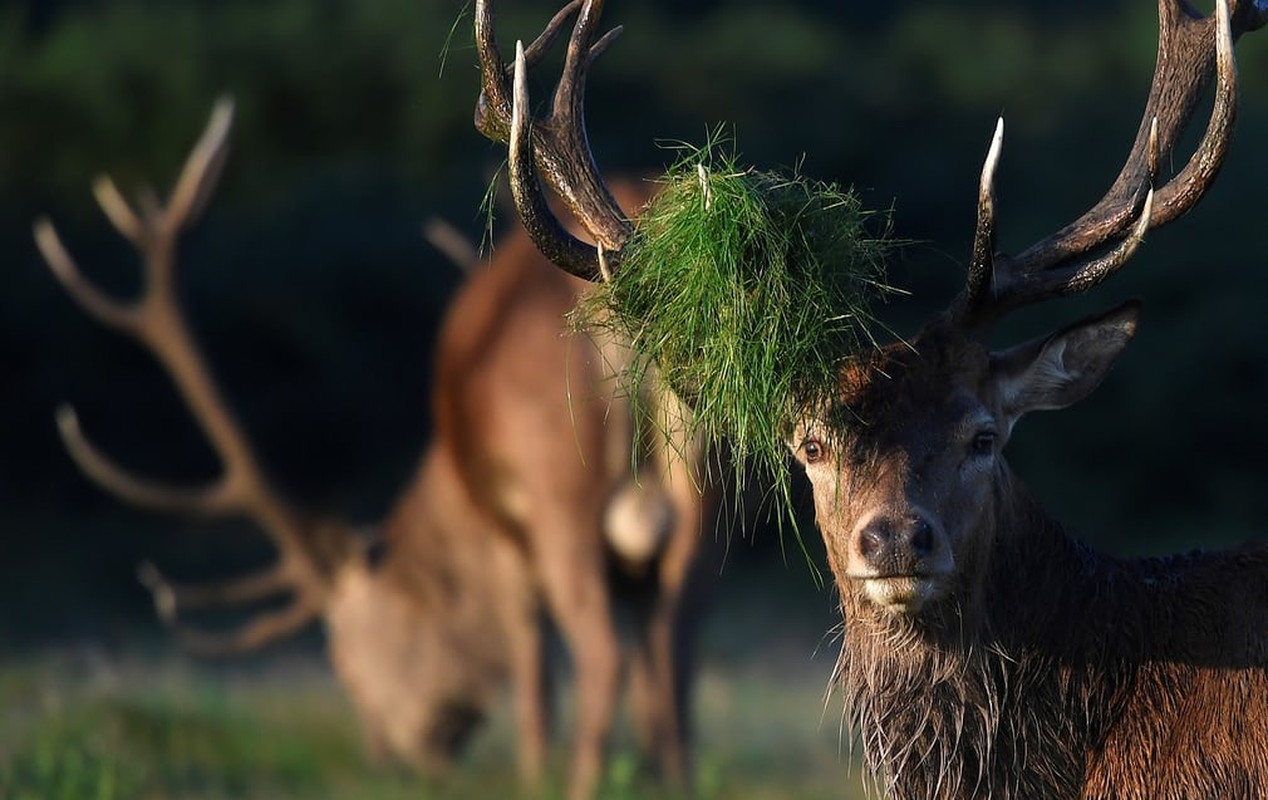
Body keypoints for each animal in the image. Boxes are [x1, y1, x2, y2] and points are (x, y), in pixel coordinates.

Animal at [37, 96, 715, 796]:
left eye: (341, 656)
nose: (382, 754)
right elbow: (652, 681)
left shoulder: (507, 535)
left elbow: (533, 684)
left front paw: (535, 776)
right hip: (702, 476)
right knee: (679, 636)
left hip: (561, 481)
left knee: (603, 657)